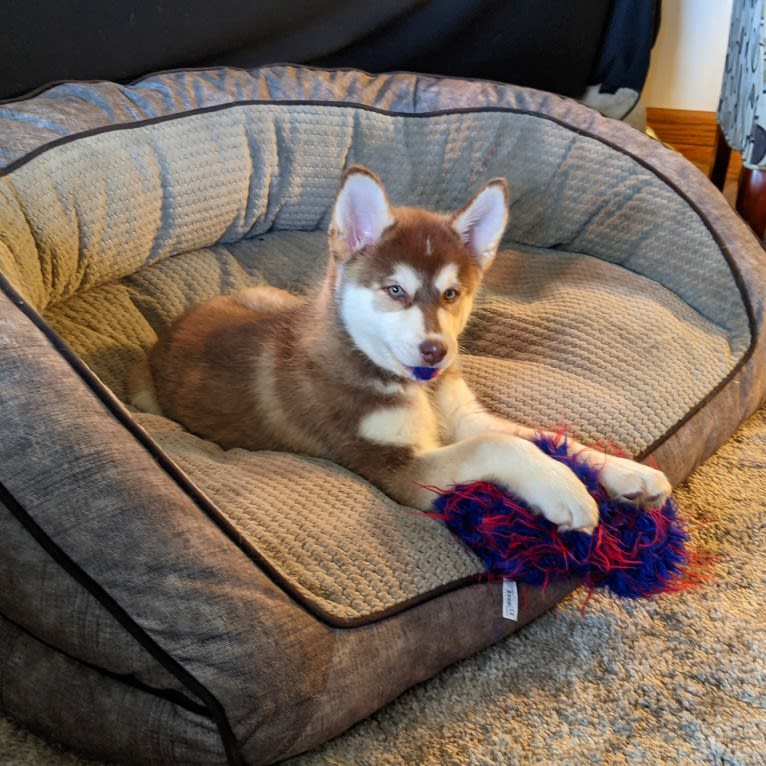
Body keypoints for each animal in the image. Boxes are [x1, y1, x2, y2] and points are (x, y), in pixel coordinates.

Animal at [132, 164, 672, 532]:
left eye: (452, 294)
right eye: (395, 291)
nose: (436, 352)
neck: (407, 384)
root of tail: (174, 327)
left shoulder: (465, 416)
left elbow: (539, 436)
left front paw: (627, 471)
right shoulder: (397, 471)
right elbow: (501, 445)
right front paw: (564, 487)